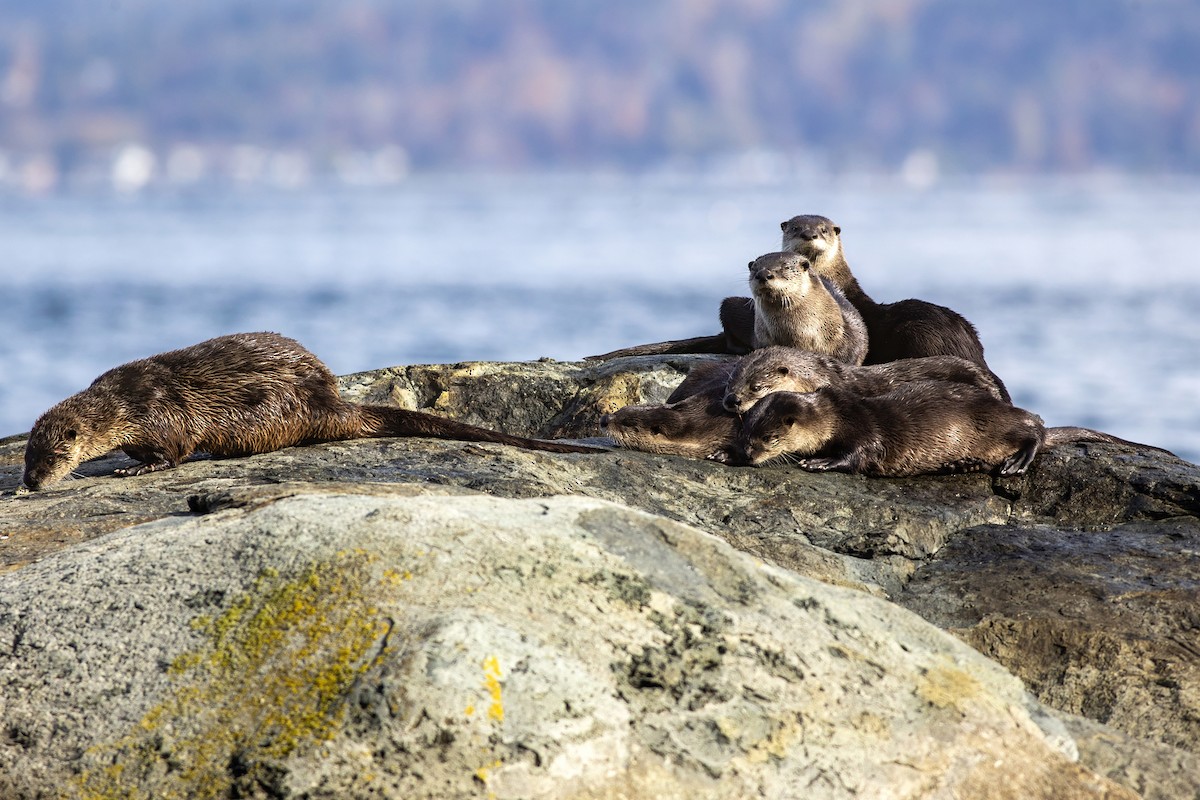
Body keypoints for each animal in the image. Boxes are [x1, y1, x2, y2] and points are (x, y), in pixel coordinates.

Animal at [19, 332, 602, 491]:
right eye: (26, 457)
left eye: (49, 458)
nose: (29, 482)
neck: (124, 405)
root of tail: (330, 402)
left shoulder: (162, 416)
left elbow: (175, 451)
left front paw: (133, 468)